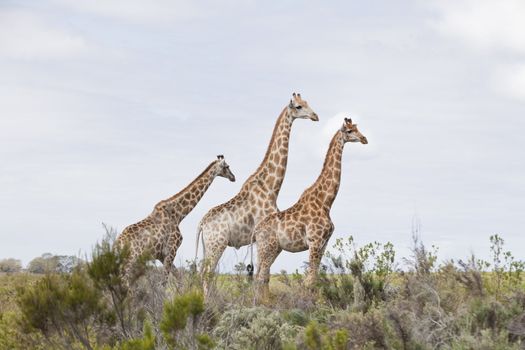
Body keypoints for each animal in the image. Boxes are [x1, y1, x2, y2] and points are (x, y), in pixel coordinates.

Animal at [196, 92, 318, 290]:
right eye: (299, 106)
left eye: (307, 102)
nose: (315, 116)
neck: (271, 187)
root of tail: (201, 224)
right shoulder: (264, 236)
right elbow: (263, 276)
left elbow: (258, 275)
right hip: (217, 245)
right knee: (207, 274)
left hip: (208, 246)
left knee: (202, 273)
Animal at [252, 117, 366, 296]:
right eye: (349, 131)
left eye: (357, 128)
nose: (364, 139)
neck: (325, 202)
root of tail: (256, 231)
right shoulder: (315, 241)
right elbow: (311, 280)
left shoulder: (323, 243)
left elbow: (314, 277)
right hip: (267, 248)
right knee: (260, 277)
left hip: (272, 249)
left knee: (261, 277)